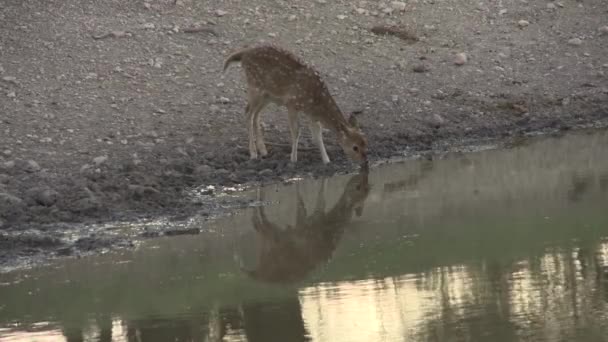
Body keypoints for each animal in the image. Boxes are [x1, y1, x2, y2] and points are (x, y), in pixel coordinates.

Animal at [222, 44, 368, 164]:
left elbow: (317, 136)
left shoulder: (311, 114)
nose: (364, 162)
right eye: (355, 147)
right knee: (247, 112)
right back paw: (253, 153)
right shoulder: (292, 103)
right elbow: (296, 131)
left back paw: (263, 150)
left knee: (256, 115)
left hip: (267, 96)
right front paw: (293, 159)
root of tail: (244, 54)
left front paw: (326, 160)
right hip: (255, 87)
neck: (316, 99)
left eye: (365, 143)